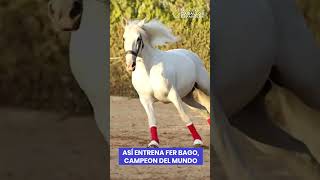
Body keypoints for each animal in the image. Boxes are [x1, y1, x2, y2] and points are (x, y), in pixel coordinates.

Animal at [122, 19, 210, 148]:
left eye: (138, 39)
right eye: (124, 38)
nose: (130, 65)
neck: (149, 70)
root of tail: (191, 55)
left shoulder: (173, 96)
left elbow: (184, 117)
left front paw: (197, 142)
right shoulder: (145, 100)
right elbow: (152, 120)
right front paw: (153, 143)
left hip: (204, 87)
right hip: (187, 97)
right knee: (204, 110)